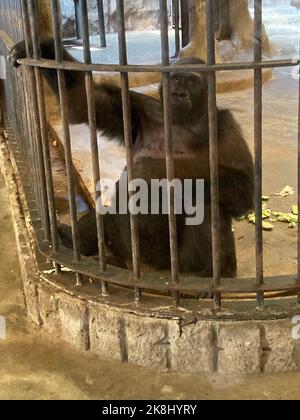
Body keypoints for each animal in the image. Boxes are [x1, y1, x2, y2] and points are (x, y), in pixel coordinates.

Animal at [10, 37, 253, 278]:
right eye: (175, 78)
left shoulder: (224, 124)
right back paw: (78, 243)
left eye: (191, 82)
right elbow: (82, 100)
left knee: (210, 203)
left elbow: (242, 185)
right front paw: (45, 49)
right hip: (127, 249)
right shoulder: (140, 108)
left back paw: (209, 274)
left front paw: (157, 173)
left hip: (174, 263)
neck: (183, 122)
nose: (178, 93)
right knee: (106, 215)